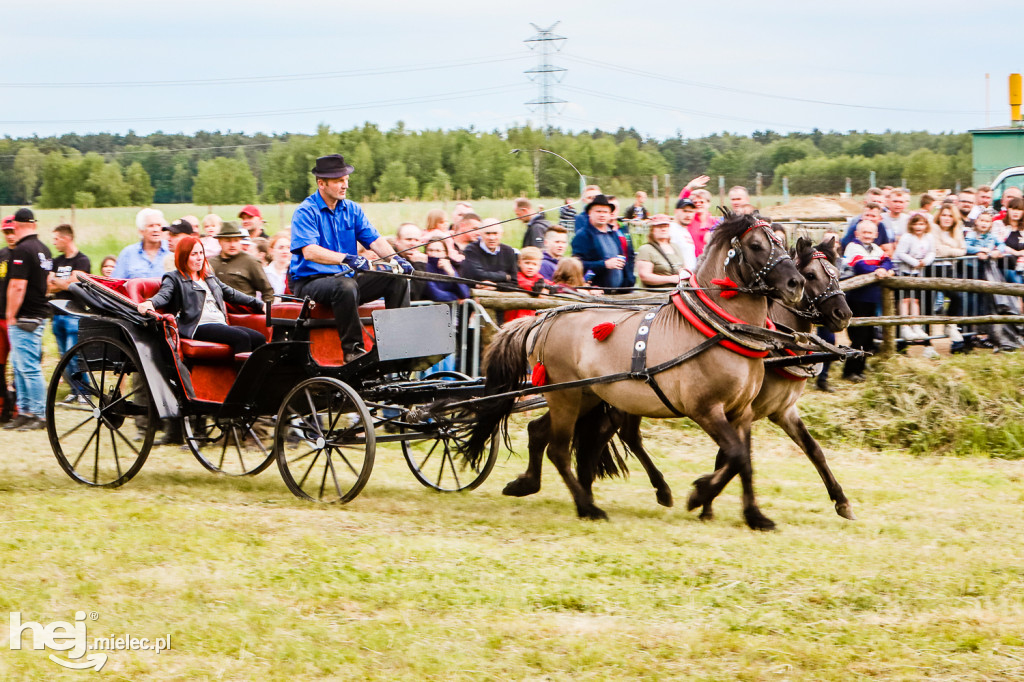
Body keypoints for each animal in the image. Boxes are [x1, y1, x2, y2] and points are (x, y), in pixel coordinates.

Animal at [460, 212, 802, 524]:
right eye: (756, 245)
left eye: (780, 240)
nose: (795, 283)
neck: (715, 330)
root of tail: (541, 320)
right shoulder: (705, 409)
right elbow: (735, 455)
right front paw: (699, 494)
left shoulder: (741, 412)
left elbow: (744, 461)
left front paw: (754, 515)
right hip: (565, 395)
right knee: (558, 449)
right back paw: (588, 507)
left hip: (585, 396)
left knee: (538, 431)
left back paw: (527, 484)